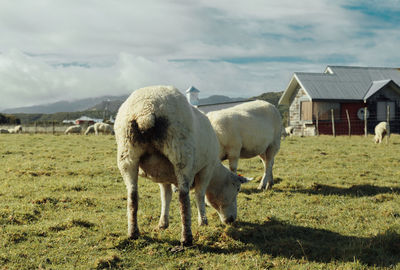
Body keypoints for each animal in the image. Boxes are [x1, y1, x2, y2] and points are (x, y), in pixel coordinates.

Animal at [114, 85, 248, 246]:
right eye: (237, 189)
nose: (232, 220)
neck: (216, 171)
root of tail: (145, 111)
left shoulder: (162, 176)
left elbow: (166, 197)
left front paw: (163, 223)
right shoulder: (206, 170)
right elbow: (199, 195)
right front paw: (203, 221)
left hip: (127, 155)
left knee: (132, 195)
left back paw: (133, 232)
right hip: (181, 153)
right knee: (184, 197)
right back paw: (186, 238)